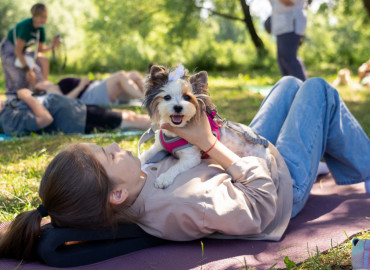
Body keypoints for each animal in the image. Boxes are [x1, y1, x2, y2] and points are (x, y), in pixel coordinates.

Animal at [140, 64, 270, 189]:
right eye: (167, 97)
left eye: (187, 97)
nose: (178, 107)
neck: (175, 133)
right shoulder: (157, 148)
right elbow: (144, 155)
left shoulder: (190, 158)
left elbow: (174, 167)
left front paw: (163, 179)